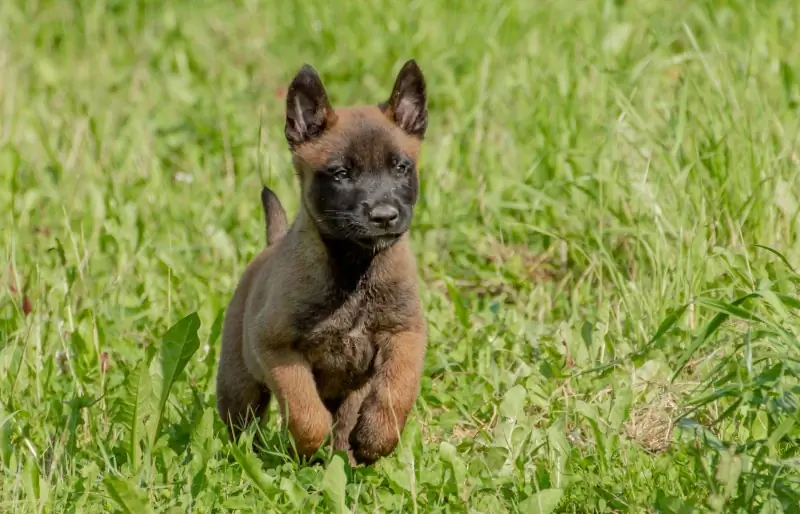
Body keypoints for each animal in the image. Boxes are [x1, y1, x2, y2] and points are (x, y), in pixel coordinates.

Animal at [217, 60, 432, 464]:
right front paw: (305, 448)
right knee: (241, 422)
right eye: (341, 173)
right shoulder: (277, 348)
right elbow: (305, 411)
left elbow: (398, 388)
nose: (384, 216)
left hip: (349, 392)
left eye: (400, 168)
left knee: (346, 421)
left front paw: (377, 438)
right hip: (239, 384)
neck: (354, 269)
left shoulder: (405, 333)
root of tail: (271, 246)